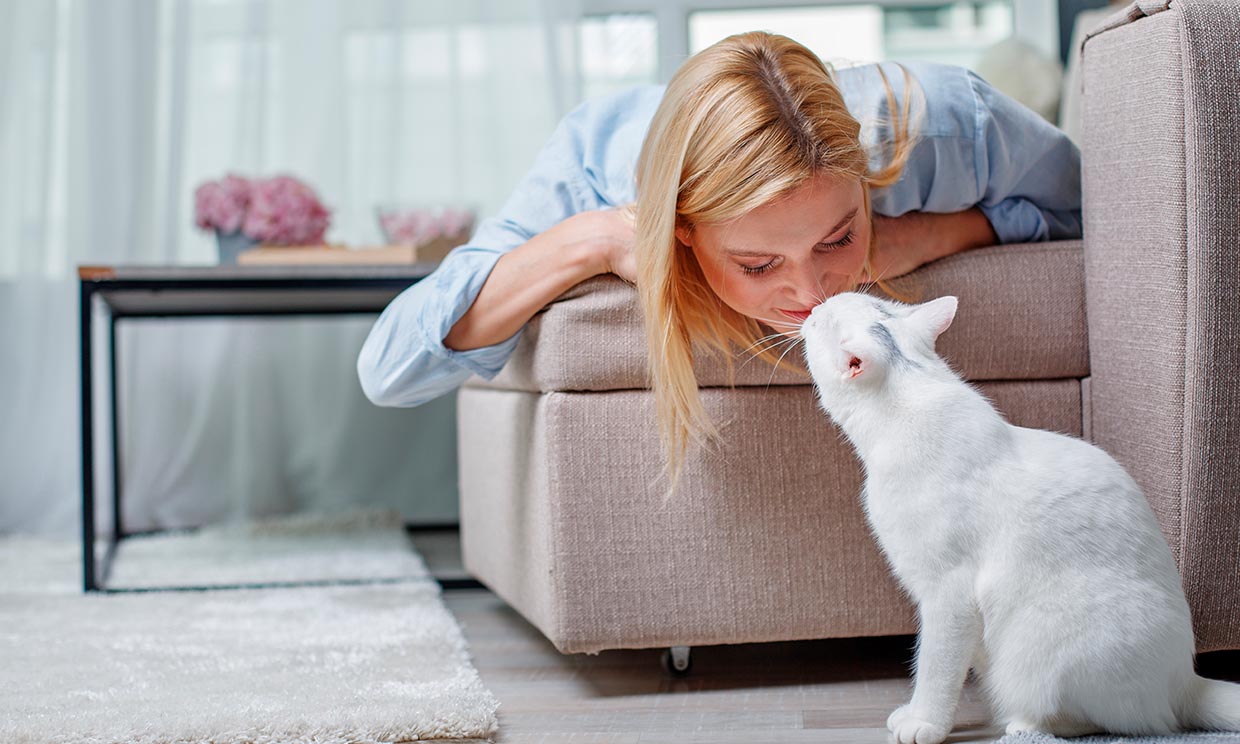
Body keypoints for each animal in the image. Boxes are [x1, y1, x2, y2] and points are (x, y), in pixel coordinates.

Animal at [793, 292, 1240, 744]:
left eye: (822, 322)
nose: (812, 310)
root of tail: (1185, 679)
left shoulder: (948, 592)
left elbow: (935, 667)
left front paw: (925, 722)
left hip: (1043, 641)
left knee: (1115, 720)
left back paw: (1026, 723)